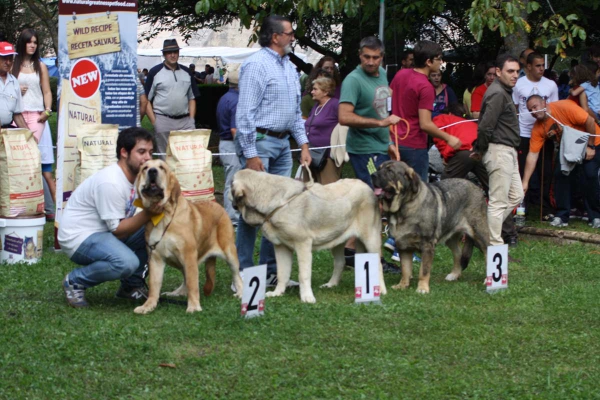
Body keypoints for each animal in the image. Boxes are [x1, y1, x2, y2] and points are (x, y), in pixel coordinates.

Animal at [133, 159, 241, 312]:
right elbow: (154, 286)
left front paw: (194, 306)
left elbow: (192, 283)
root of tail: (220, 206)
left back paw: (241, 293)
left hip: (229, 252)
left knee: (237, 275)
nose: (152, 171)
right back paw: (177, 293)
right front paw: (148, 306)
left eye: (162, 168)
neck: (164, 215)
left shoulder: (188, 254)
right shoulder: (155, 258)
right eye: (145, 168)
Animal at [230, 166, 384, 304]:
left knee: (378, 264)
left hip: (371, 239)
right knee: (340, 262)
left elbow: (303, 274)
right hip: (337, 240)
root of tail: (366, 186)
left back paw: (381, 290)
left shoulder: (303, 244)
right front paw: (277, 293)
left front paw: (307, 297)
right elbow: (282, 273)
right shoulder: (281, 247)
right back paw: (331, 284)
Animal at [372, 161, 490, 296]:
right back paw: (454, 275)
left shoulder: (427, 245)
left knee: (490, 251)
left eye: (390, 171)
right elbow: (405, 269)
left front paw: (422, 288)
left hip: (479, 233)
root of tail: (476, 187)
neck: (403, 207)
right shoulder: (404, 246)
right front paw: (402, 285)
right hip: (450, 236)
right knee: (458, 253)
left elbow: (424, 270)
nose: (372, 175)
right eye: (379, 168)